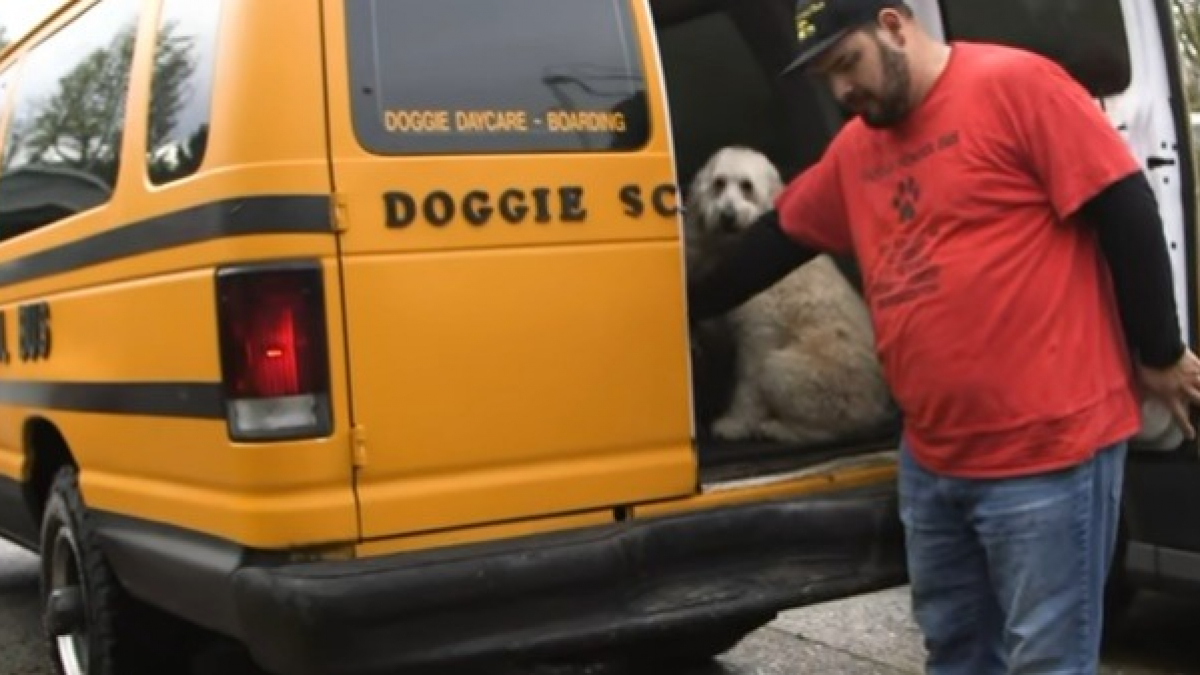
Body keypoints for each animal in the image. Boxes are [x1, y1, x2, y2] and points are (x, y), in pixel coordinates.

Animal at [686, 144, 902, 444]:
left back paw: (777, 428)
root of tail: (876, 408)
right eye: (718, 183)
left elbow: (748, 388)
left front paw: (736, 424)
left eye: (747, 186)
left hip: (787, 371)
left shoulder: (759, 337)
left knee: (828, 430)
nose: (726, 215)